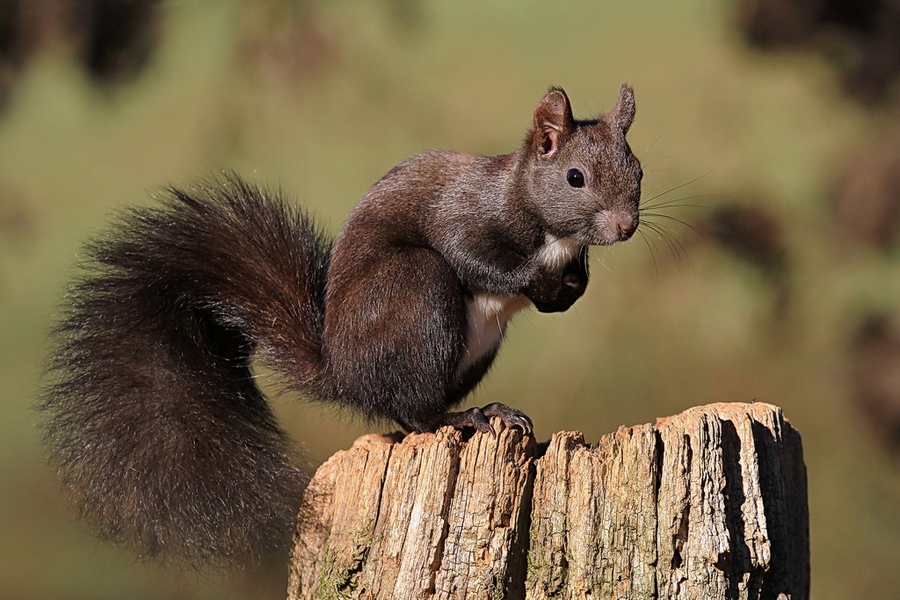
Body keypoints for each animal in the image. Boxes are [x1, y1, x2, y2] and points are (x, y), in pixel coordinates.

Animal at [40, 84, 640, 568]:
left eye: (637, 171)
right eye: (575, 178)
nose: (627, 227)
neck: (541, 222)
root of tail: (343, 371)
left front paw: (572, 284)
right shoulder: (462, 217)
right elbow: (473, 257)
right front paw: (535, 278)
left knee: (404, 411)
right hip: (415, 294)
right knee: (415, 409)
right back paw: (473, 415)